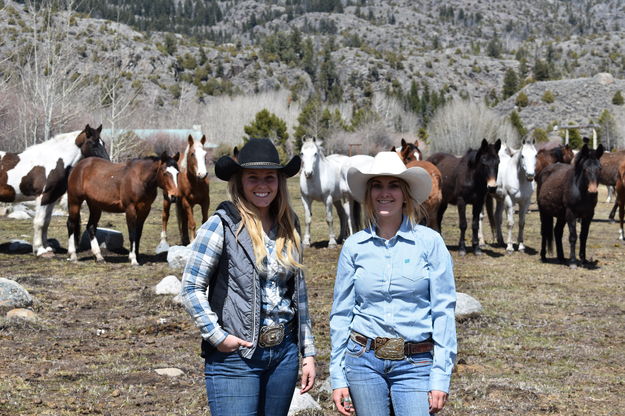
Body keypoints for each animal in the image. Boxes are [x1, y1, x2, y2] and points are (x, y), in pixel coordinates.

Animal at [0, 123, 108, 255]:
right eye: (93, 143)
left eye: (103, 143)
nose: (107, 162)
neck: (52, 161)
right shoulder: (43, 197)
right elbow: (39, 222)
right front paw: (40, 250)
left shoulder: (51, 198)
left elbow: (46, 222)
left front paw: (47, 247)